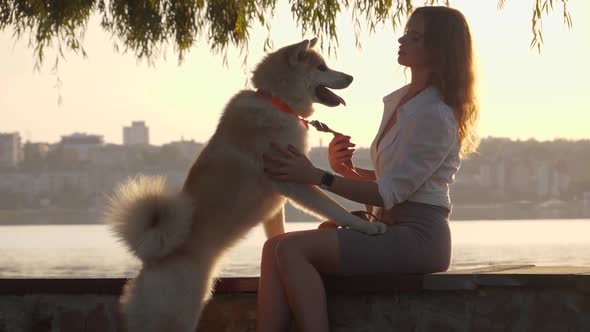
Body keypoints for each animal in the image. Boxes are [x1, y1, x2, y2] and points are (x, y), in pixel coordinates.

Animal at [105, 37, 388, 332]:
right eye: (322, 67)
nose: (351, 77)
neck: (277, 102)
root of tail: (150, 262)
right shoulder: (293, 182)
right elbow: (335, 208)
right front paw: (367, 226)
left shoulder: (279, 202)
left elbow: (277, 234)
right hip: (180, 316)